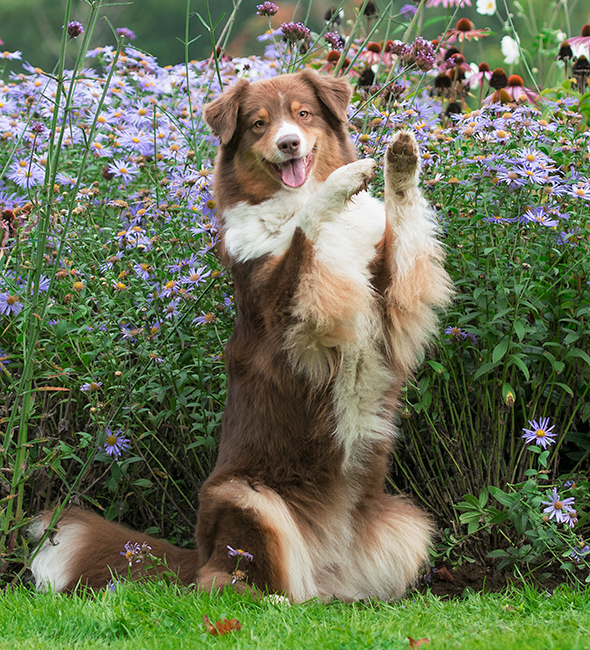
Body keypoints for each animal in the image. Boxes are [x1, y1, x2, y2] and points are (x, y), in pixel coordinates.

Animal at [28, 68, 454, 600]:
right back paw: (269, 599)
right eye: (258, 124)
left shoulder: (391, 298)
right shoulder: (287, 311)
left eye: (303, 114)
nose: (289, 143)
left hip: (404, 522)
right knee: (229, 583)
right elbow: (305, 228)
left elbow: (402, 224)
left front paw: (401, 158)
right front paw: (340, 183)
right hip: (246, 498)